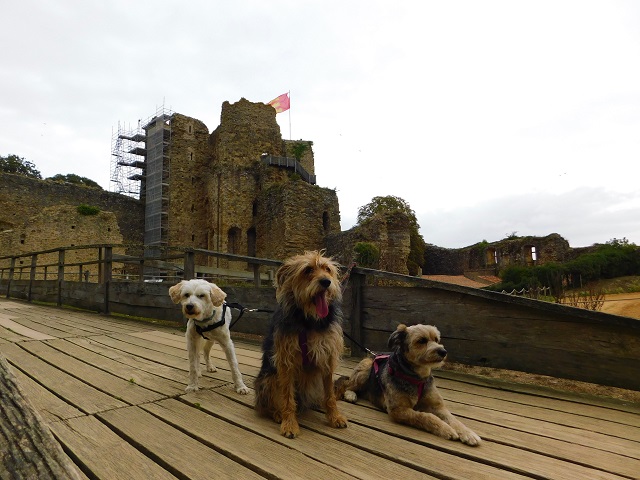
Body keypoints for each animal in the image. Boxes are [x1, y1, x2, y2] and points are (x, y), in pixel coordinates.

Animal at [252, 251, 348, 438]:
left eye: (327, 269)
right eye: (308, 270)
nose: (326, 281)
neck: (309, 321)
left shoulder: (327, 357)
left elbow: (330, 395)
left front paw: (335, 417)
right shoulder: (285, 361)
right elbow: (287, 397)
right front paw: (289, 423)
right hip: (267, 379)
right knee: (267, 405)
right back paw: (277, 414)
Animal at [336, 322, 480, 446]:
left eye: (436, 339)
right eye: (421, 340)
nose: (443, 352)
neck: (417, 377)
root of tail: (373, 356)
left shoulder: (438, 406)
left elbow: (453, 419)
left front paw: (468, 433)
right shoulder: (398, 410)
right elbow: (425, 416)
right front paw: (446, 429)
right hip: (365, 370)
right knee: (347, 384)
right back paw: (350, 394)